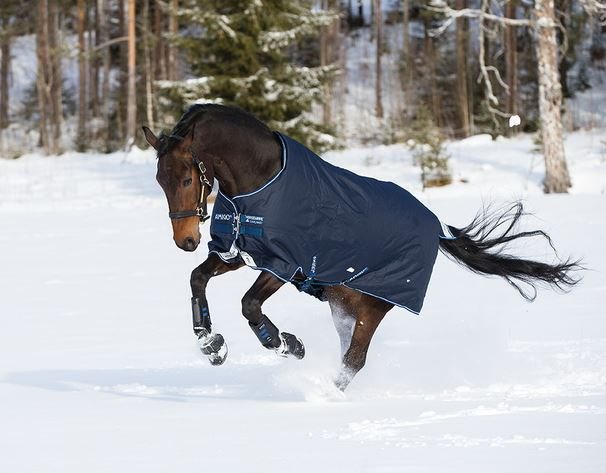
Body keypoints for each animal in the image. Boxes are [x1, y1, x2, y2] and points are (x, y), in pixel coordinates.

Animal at [144, 104, 584, 390]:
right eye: (160, 179)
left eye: (187, 178)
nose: (185, 240)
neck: (260, 180)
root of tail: (436, 228)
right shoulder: (236, 252)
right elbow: (197, 279)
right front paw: (211, 345)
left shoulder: (282, 264)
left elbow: (250, 306)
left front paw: (289, 345)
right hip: (344, 302)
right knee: (349, 356)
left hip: (373, 305)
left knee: (354, 361)